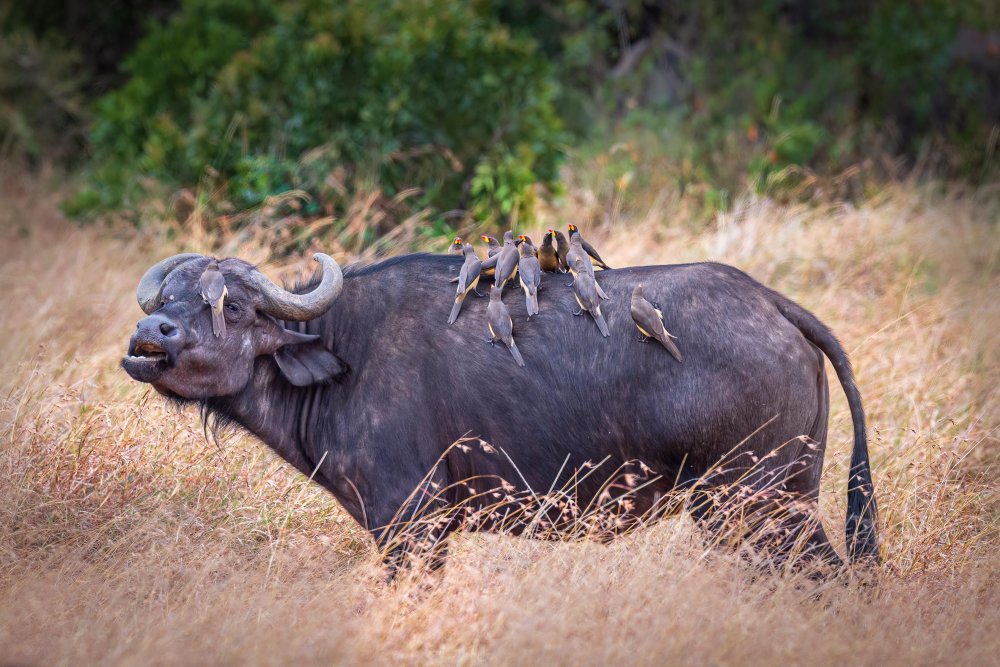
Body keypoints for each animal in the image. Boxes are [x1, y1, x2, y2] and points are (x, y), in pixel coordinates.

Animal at [123, 250, 876, 576]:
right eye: (169, 297)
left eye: (233, 305)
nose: (151, 333)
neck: (344, 351)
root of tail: (771, 302)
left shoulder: (411, 527)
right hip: (786, 498)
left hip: (743, 506)